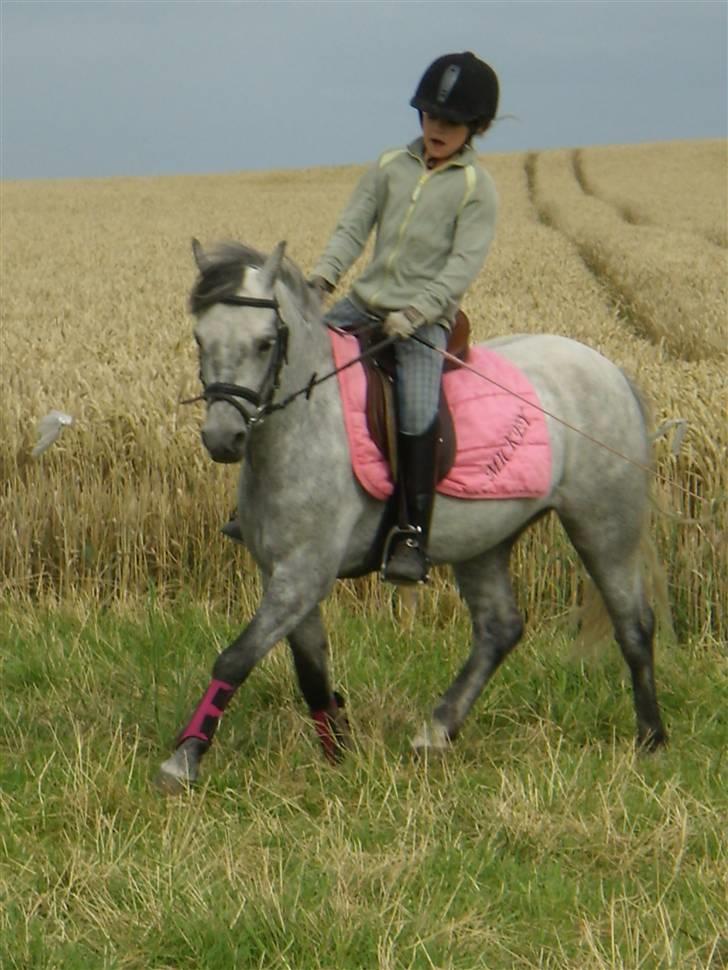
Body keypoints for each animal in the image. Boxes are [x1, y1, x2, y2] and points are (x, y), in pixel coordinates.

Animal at [158, 240, 664, 788]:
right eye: (200, 337)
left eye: (265, 342)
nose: (222, 438)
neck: (306, 424)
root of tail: (609, 370)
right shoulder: (284, 574)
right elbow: (311, 672)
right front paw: (338, 753)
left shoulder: (304, 573)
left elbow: (235, 658)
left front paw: (183, 758)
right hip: (486, 542)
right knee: (500, 629)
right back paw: (436, 731)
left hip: (604, 525)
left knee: (634, 624)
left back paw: (651, 739)